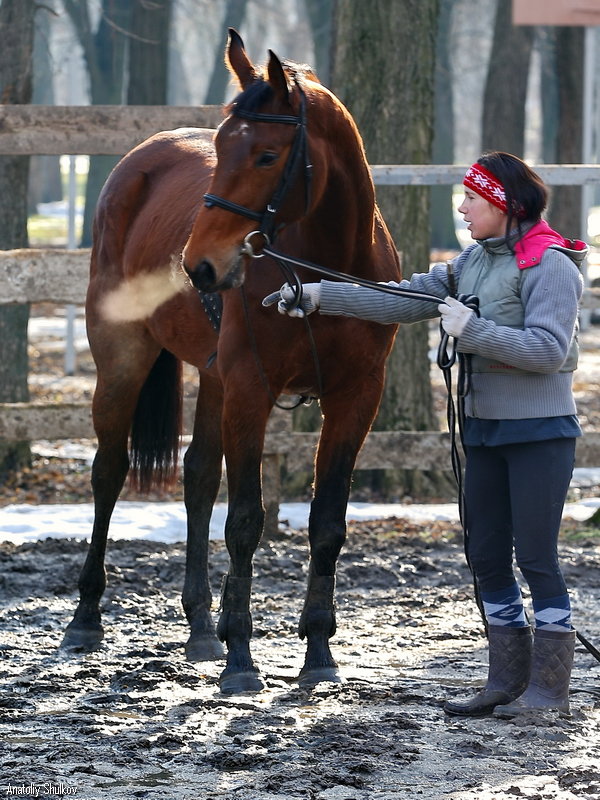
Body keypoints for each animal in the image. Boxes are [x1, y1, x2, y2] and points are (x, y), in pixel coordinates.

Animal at [62, 29, 398, 692]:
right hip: (123, 360)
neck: (326, 271)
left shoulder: (357, 397)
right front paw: (242, 657)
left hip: (213, 377)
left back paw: (199, 627)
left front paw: (318, 651)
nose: (199, 265)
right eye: (220, 147)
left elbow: (328, 522)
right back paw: (86, 617)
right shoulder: (250, 390)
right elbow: (244, 520)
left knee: (197, 477)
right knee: (109, 472)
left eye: (267, 156)